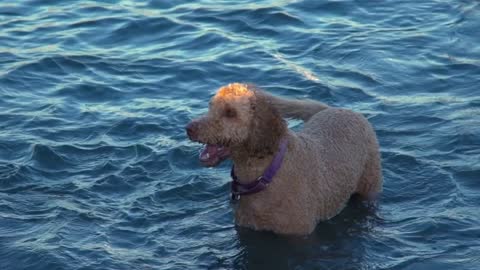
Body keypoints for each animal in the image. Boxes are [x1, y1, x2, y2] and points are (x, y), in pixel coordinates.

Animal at [185, 83, 382, 235]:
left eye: (230, 112)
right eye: (210, 106)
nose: (189, 128)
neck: (266, 174)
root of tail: (336, 109)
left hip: (370, 185)